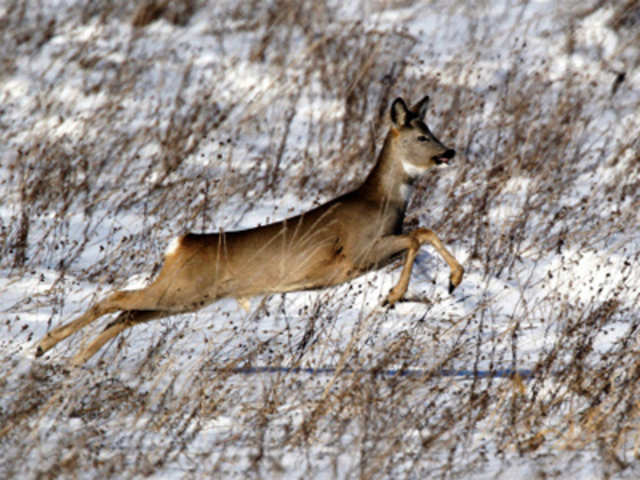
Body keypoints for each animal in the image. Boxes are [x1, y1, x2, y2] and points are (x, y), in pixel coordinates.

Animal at [36, 94, 464, 364]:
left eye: (433, 130)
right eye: (422, 135)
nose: (450, 152)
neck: (380, 203)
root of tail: (179, 245)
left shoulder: (371, 255)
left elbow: (421, 232)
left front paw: (445, 281)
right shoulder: (356, 252)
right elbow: (420, 233)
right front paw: (405, 293)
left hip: (188, 296)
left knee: (125, 314)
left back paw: (72, 362)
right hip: (181, 288)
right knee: (114, 299)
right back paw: (44, 347)